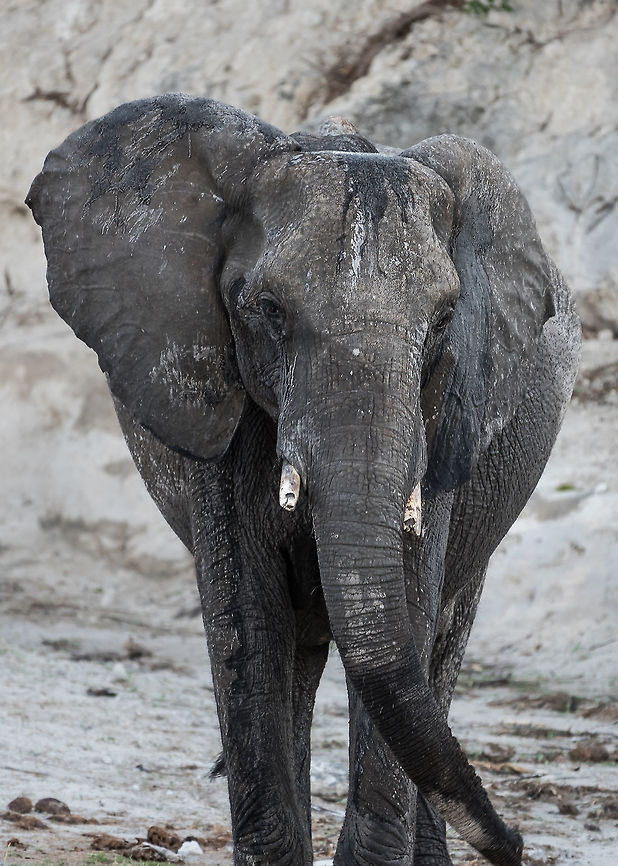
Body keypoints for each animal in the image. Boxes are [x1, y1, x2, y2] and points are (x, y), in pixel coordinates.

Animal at [27, 94, 580, 866]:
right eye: (269, 311)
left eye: (444, 321)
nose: (517, 842)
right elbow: (248, 623)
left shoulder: (442, 417)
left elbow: (409, 612)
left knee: (439, 647)